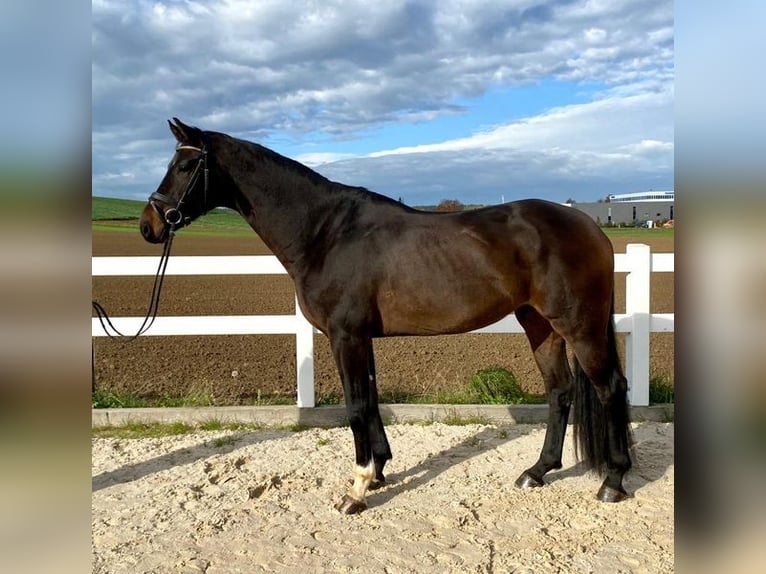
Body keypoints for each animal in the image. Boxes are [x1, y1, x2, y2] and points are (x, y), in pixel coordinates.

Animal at [140, 118, 633, 514]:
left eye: (183, 166)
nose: (150, 224)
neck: (326, 232)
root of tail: (590, 226)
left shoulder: (346, 336)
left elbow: (357, 405)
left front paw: (356, 490)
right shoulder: (360, 338)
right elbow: (371, 400)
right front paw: (378, 472)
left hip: (579, 325)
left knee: (610, 387)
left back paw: (613, 481)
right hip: (539, 324)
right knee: (560, 391)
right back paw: (538, 471)